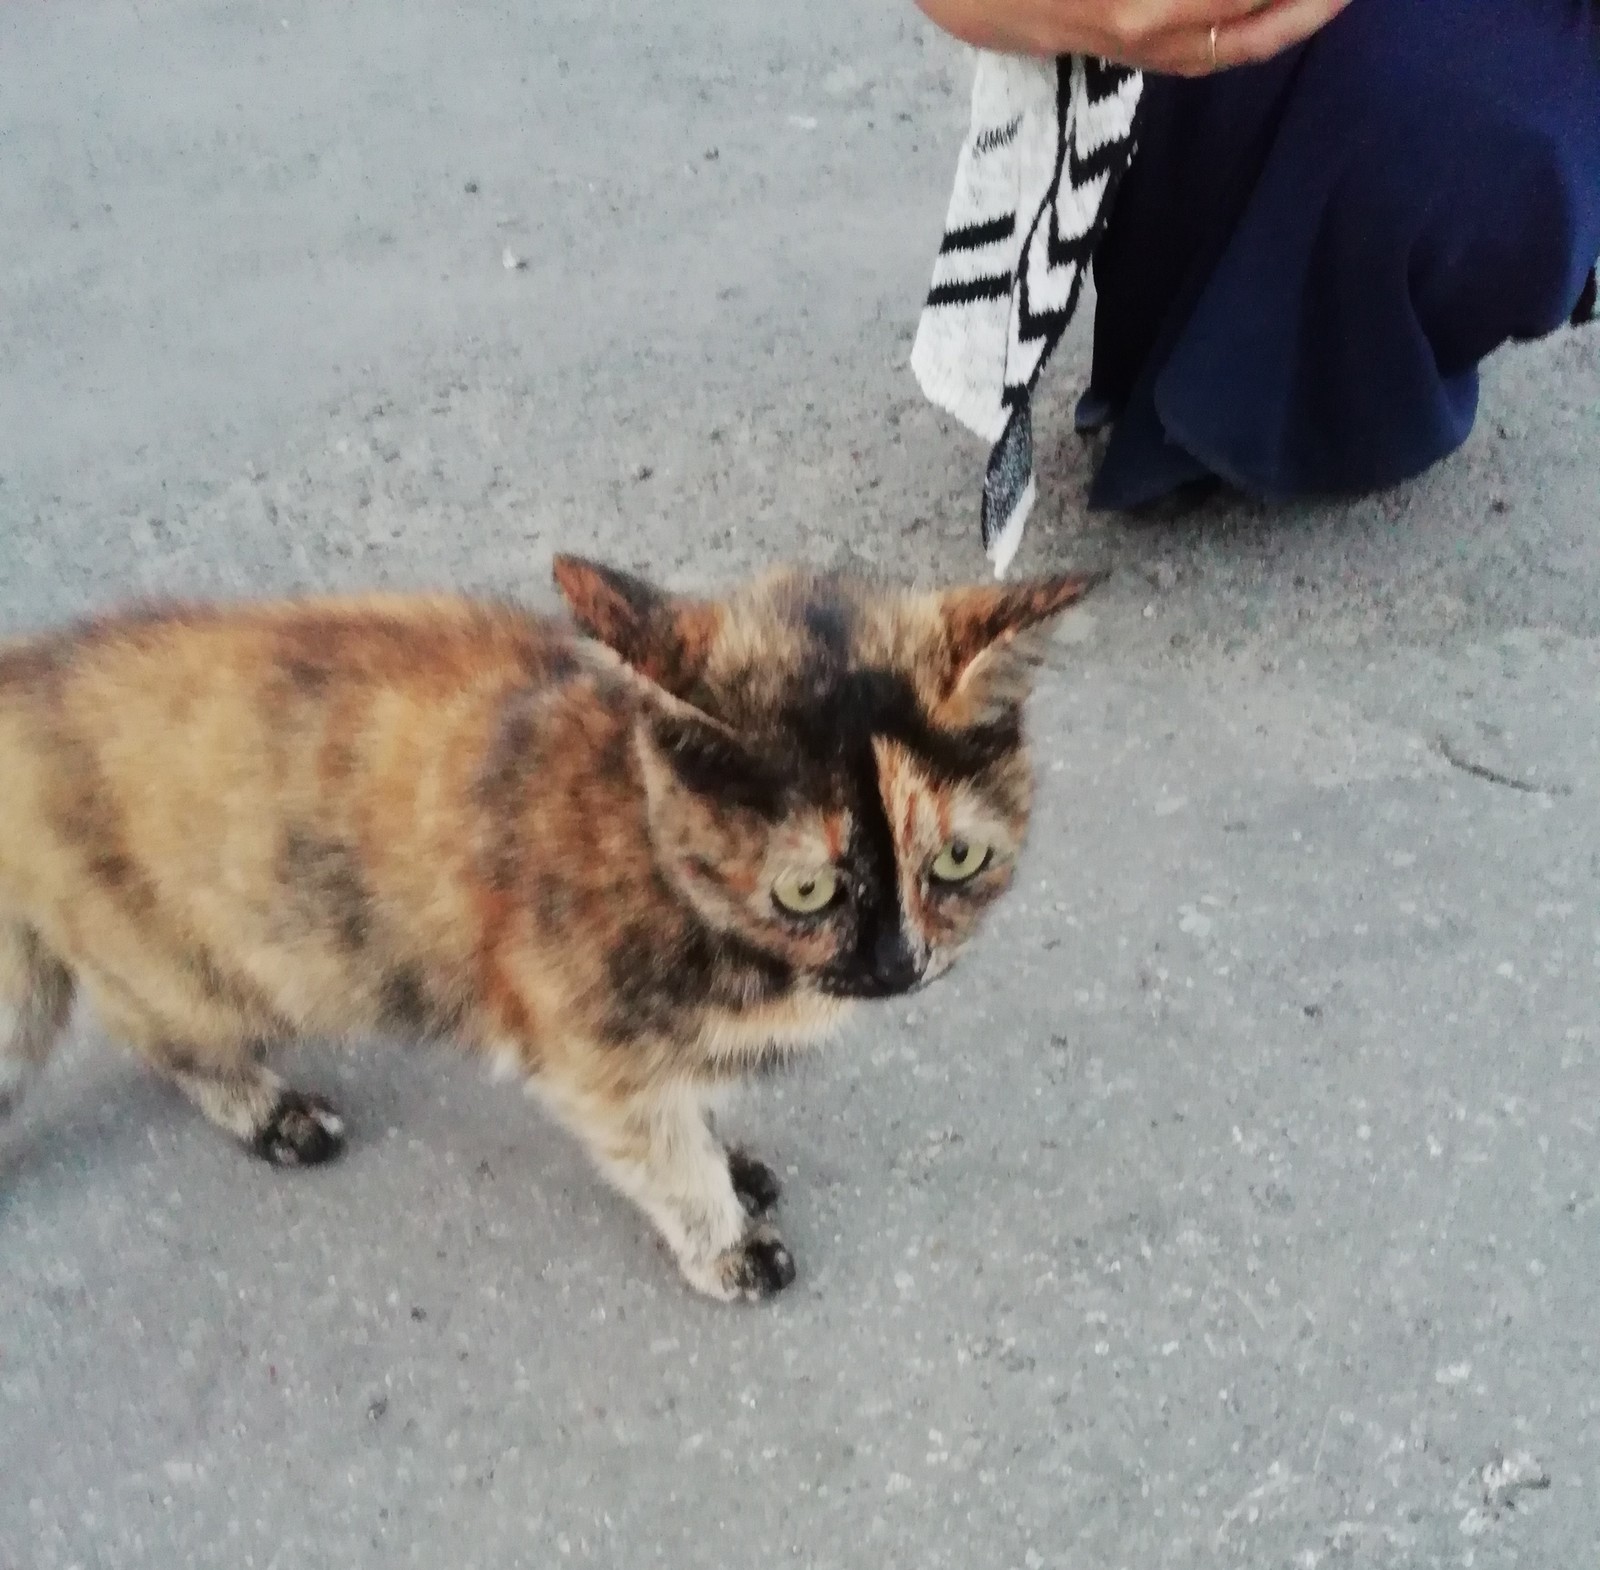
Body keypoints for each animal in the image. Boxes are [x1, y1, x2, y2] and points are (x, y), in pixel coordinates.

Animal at [0, 550, 1100, 1299]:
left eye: (955, 862)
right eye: (806, 892)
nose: (899, 965)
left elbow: (693, 1107)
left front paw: (730, 1154)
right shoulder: (596, 1063)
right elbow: (666, 1156)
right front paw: (723, 1235)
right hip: (203, 967)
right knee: (160, 1038)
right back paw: (272, 1115)